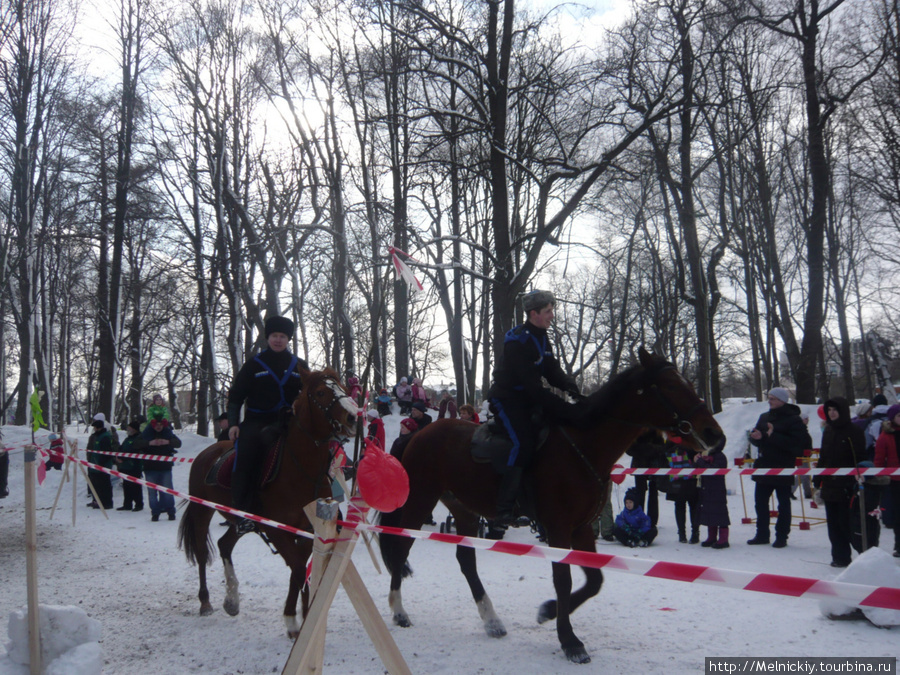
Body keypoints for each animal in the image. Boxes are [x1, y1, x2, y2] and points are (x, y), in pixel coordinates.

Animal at [178, 368, 356, 636]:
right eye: (321, 393)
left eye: (343, 388)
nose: (353, 416)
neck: (300, 469)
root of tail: (206, 453)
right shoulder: (277, 530)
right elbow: (298, 570)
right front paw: (296, 620)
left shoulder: (306, 530)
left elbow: (298, 571)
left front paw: (299, 617)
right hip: (202, 511)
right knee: (201, 553)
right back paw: (205, 601)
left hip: (239, 522)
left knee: (224, 545)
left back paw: (232, 600)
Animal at [378, 352, 724, 664]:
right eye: (671, 385)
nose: (714, 435)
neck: (583, 446)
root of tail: (418, 435)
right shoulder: (558, 528)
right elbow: (564, 580)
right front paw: (569, 640)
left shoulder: (581, 528)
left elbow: (594, 580)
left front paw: (548, 611)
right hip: (420, 500)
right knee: (401, 547)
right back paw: (399, 610)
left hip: (463, 509)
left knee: (465, 560)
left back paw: (491, 619)